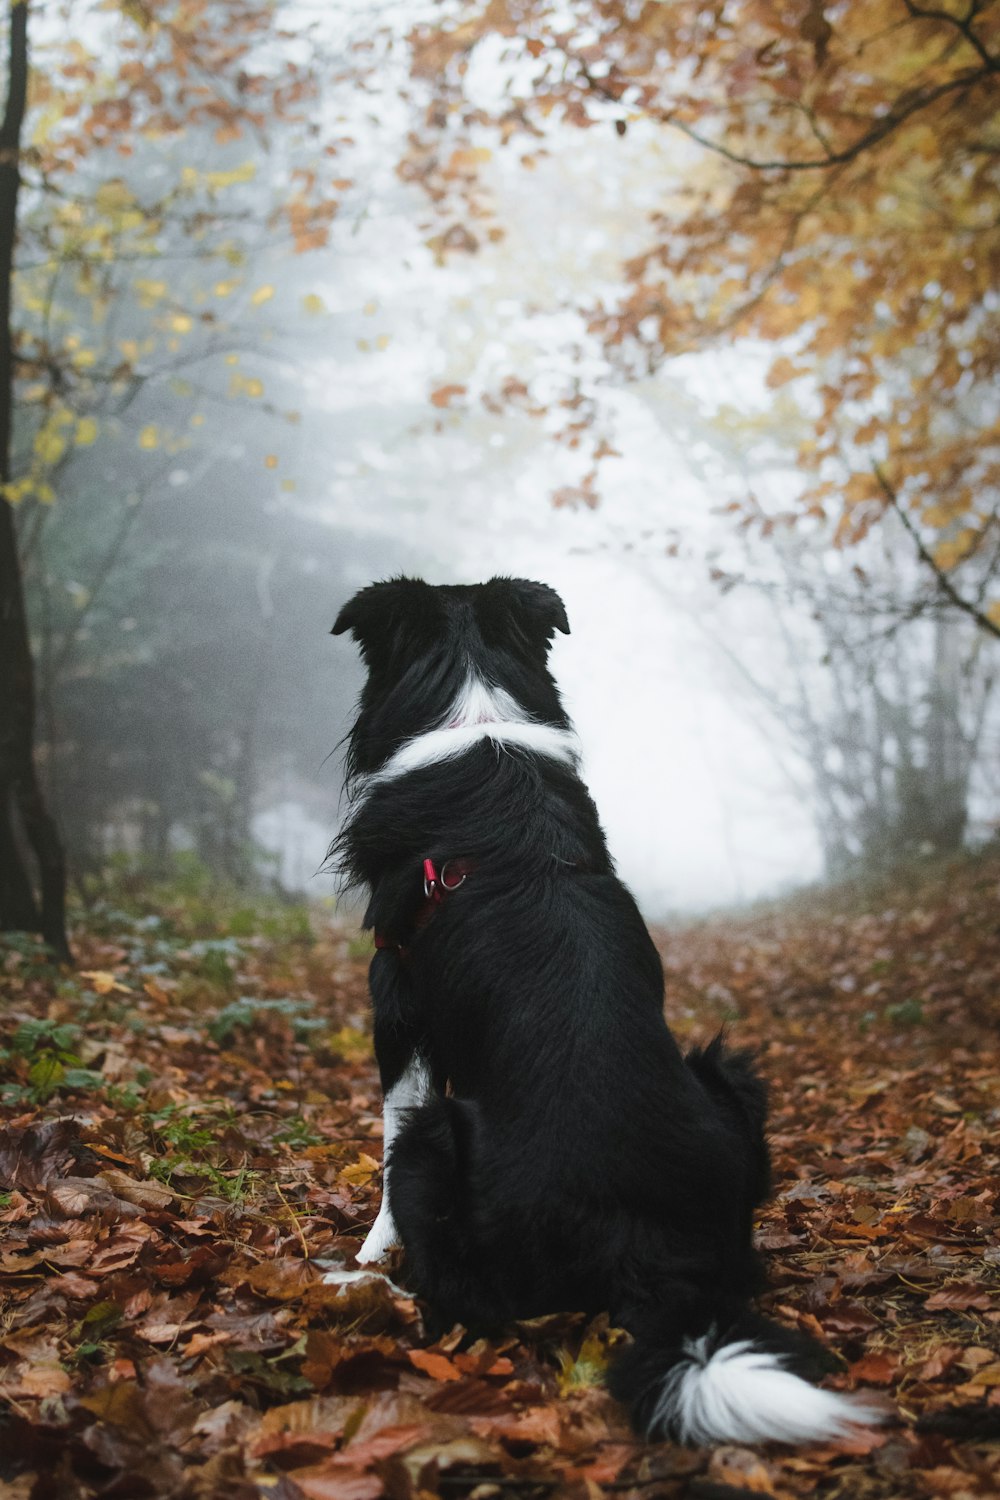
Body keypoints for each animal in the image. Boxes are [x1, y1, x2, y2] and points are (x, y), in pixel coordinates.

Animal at [332, 573, 881, 1440]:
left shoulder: (397, 1003)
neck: (474, 720)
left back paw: (372, 1291)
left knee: (457, 1296)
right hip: (725, 1071)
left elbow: (384, 1138)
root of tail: (643, 1247)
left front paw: (366, 1254)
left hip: (439, 1141)